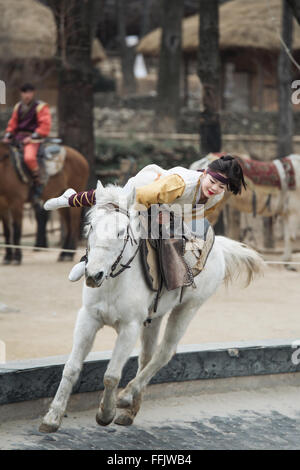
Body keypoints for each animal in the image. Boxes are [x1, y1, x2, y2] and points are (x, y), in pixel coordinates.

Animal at [39, 182, 264, 432]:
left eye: (121, 232)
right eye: (90, 227)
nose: (93, 275)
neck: (116, 280)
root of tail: (220, 247)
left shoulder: (129, 327)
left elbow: (111, 375)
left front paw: (106, 413)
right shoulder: (89, 318)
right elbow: (71, 367)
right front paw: (52, 417)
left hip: (188, 309)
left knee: (164, 352)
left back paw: (126, 396)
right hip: (155, 317)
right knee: (146, 356)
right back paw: (129, 412)